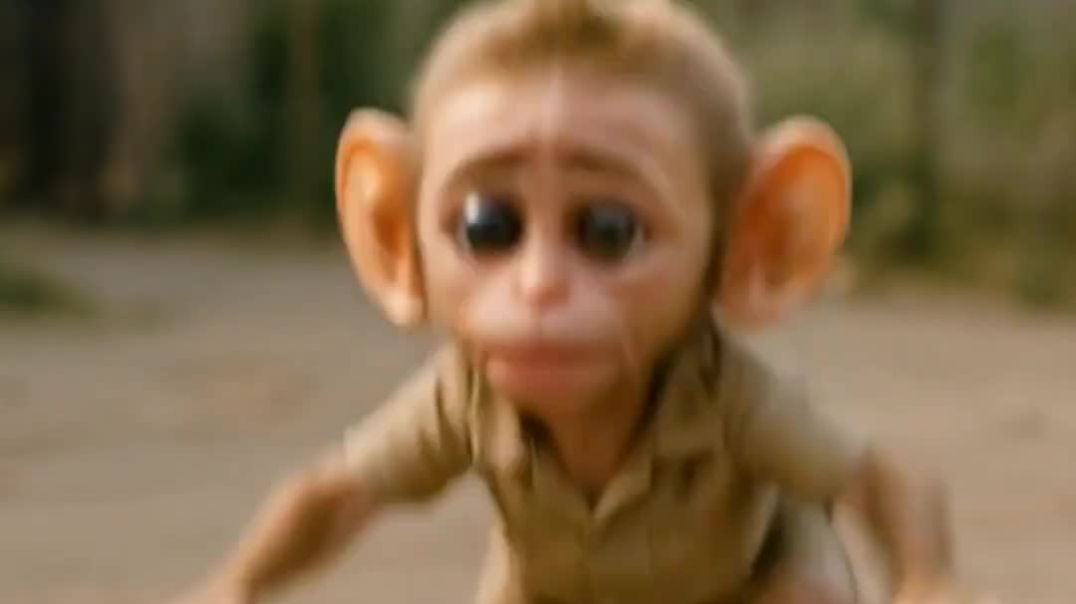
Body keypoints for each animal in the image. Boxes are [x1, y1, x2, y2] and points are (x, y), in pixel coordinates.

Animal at [170, 0, 980, 602]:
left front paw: (935, 588)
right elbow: (333, 492)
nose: (540, 290)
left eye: (609, 231)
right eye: (486, 226)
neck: (594, 420)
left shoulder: (747, 399)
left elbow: (884, 482)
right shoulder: (452, 393)